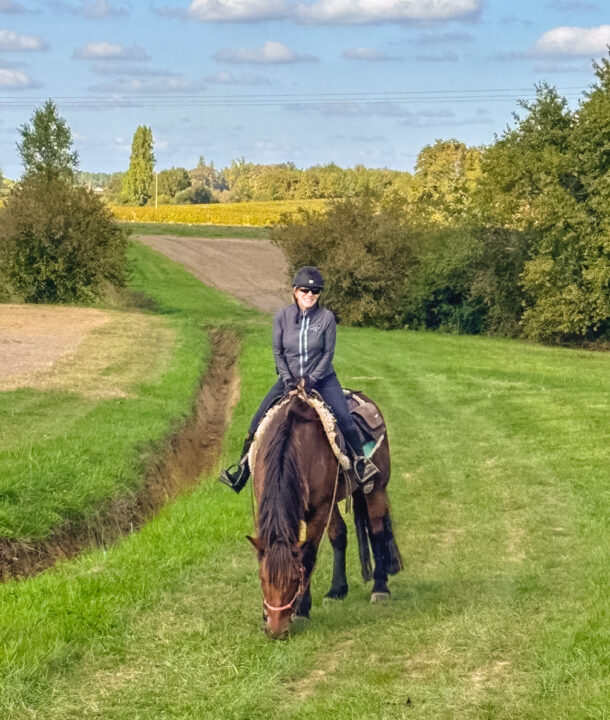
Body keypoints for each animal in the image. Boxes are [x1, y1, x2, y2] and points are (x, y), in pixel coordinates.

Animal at [247, 389, 402, 638]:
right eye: (263, 578)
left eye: (295, 579)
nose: (276, 630)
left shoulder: (318, 509)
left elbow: (308, 556)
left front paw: (301, 609)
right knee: (339, 534)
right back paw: (336, 590)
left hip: (375, 488)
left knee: (377, 530)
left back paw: (380, 588)